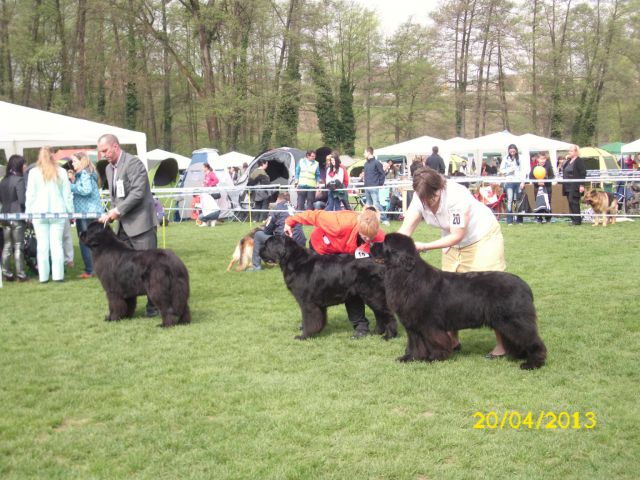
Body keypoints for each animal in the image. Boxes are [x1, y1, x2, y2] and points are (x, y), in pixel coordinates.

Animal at [258, 234, 398, 340]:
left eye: (267, 245)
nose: (259, 251)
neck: (294, 261)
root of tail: (383, 265)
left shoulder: (307, 303)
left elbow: (309, 320)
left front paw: (304, 336)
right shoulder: (317, 304)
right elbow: (319, 319)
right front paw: (317, 332)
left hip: (374, 295)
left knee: (387, 314)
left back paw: (389, 336)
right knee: (379, 314)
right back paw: (376, 332)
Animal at [372, 234, 548, 370]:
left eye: (385, 242)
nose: (371, 244)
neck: (407, 275)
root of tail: (524, 285)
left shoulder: (428, 324)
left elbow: (435, 342)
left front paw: (434, 358)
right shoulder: (412, 325)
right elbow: (415, 344)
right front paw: (409, 358)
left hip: (514, 321)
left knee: (532, 339)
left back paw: (533, 363)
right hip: (507, 323)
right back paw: (521, 357)